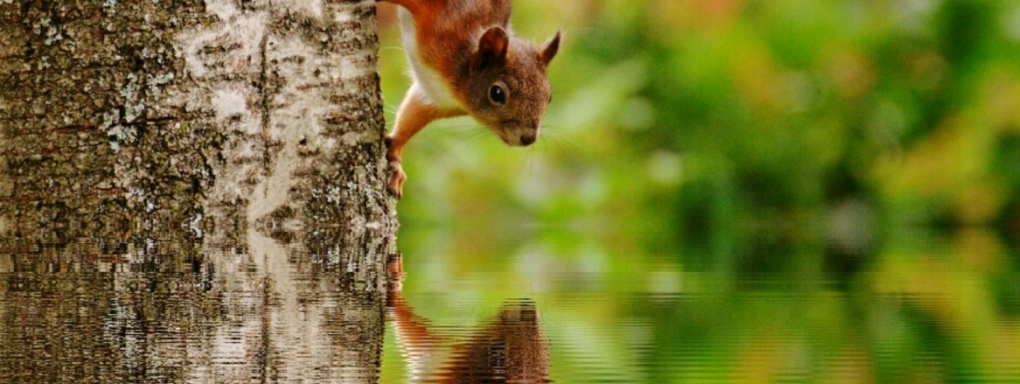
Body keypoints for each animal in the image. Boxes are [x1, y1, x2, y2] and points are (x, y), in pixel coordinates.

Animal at [379, 0, 563, 198]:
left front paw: (395, 159)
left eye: (549, 96)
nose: (528, 138)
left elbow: (409, 119)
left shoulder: (435, 98)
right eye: (497, 93)